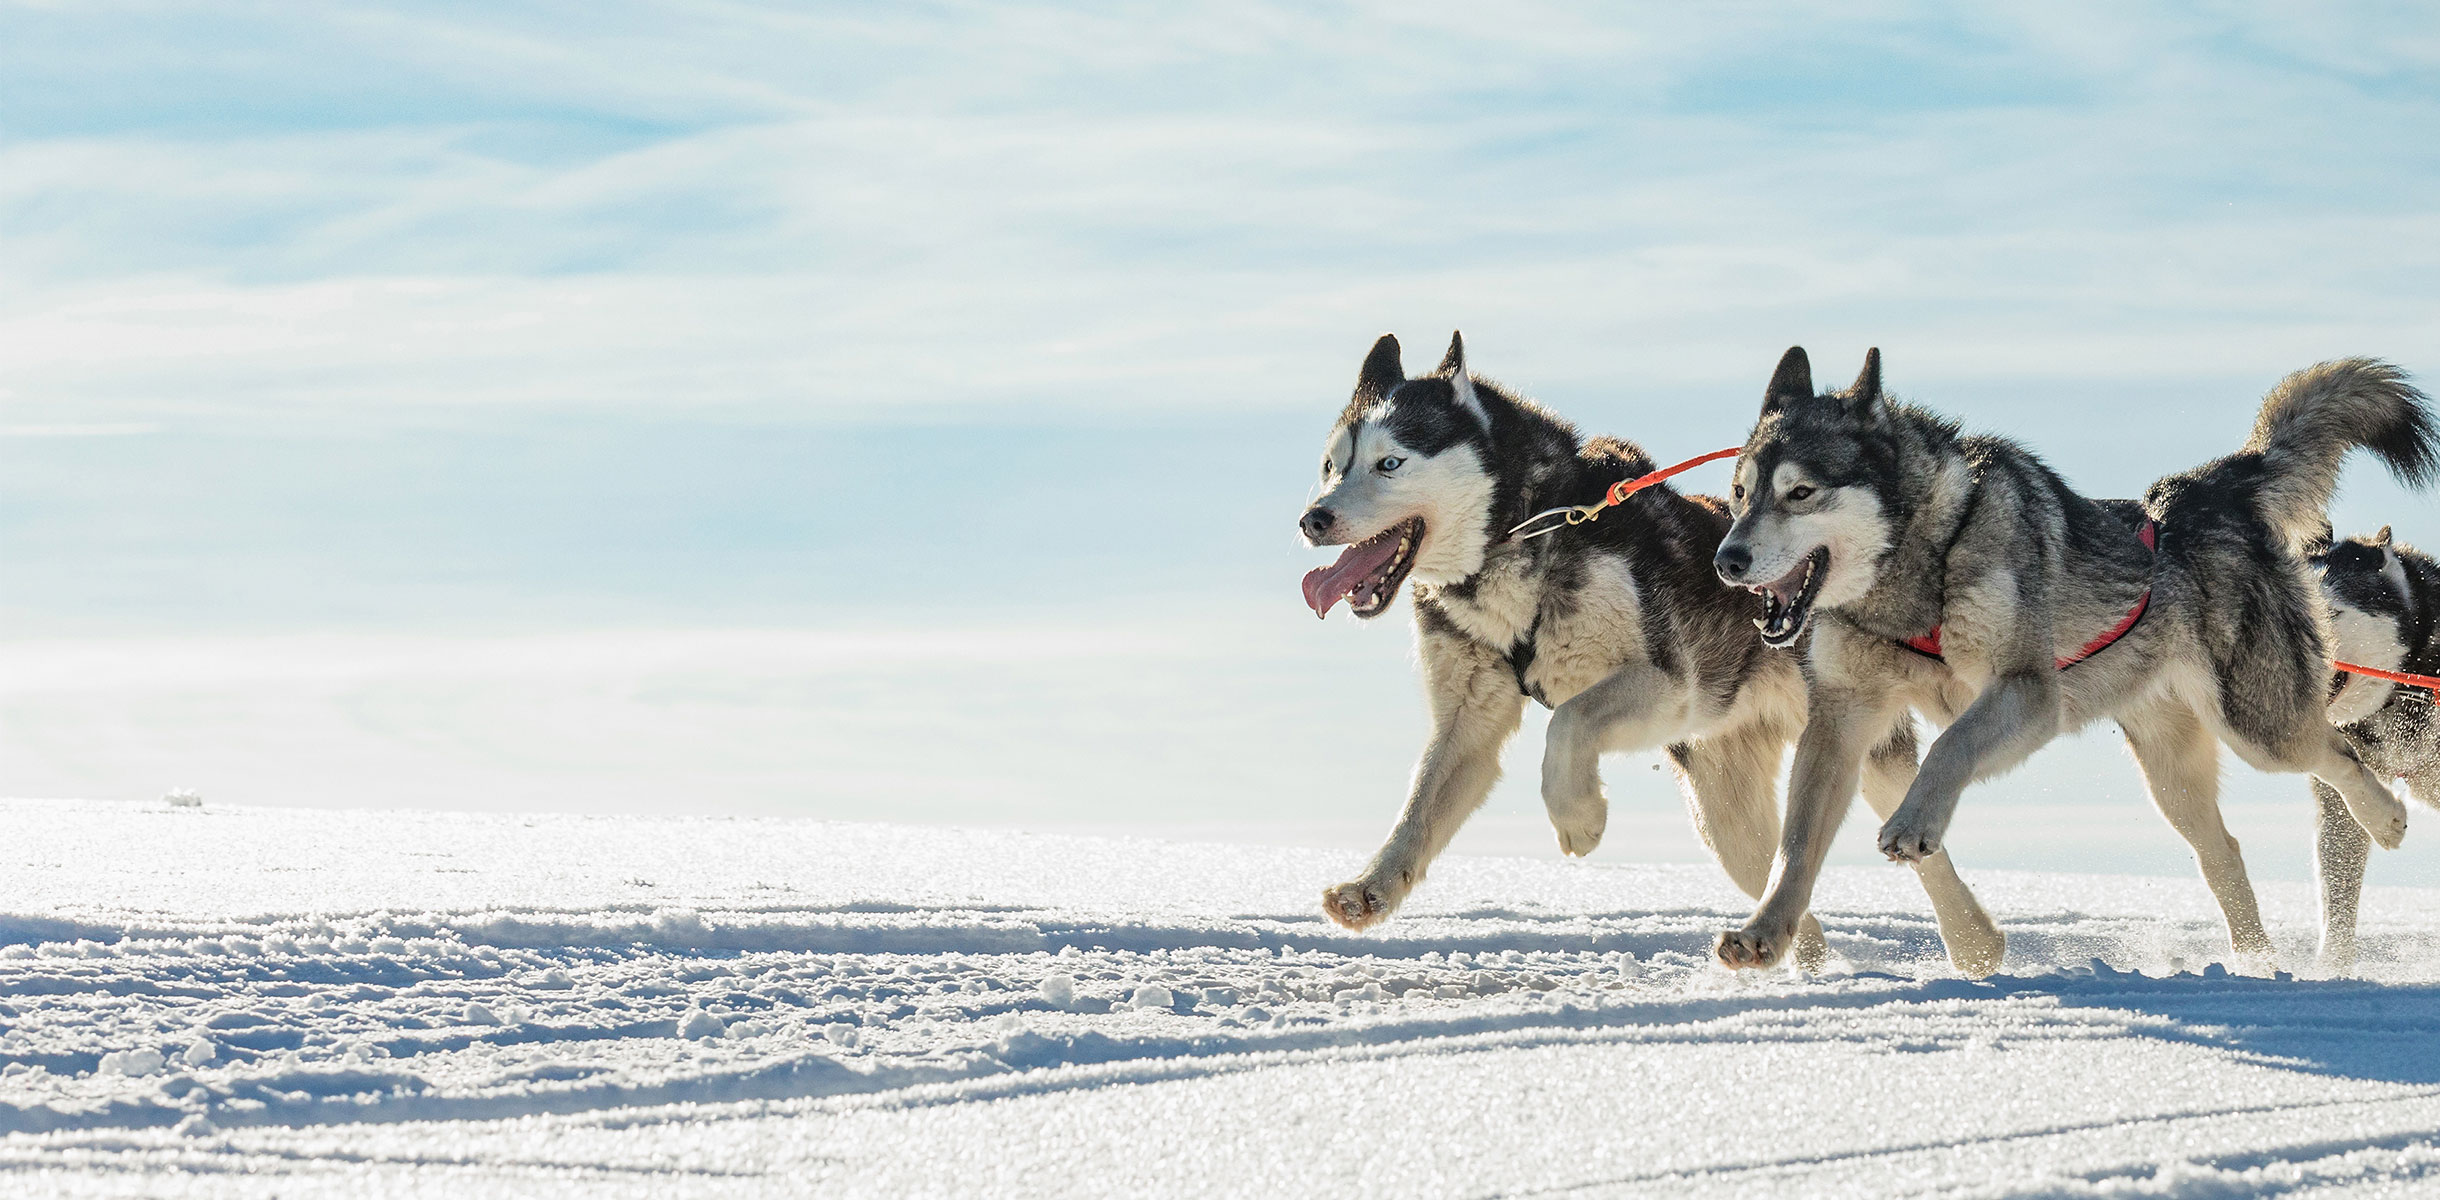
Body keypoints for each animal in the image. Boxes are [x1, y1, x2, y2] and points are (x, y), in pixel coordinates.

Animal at [1298, 329, 2000, 975]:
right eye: (1332, 466)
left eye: (1390, 463)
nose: (1313, 519)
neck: (1524, 531)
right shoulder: (1471, 720)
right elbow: (1419, 808)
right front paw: (1372, 889)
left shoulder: (1670, 687)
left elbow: (1566, 723)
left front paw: (1580, 817)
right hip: (1725, 821)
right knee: (1783, 875)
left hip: (1851, 742)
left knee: (1923, 843)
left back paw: (1975, 944)